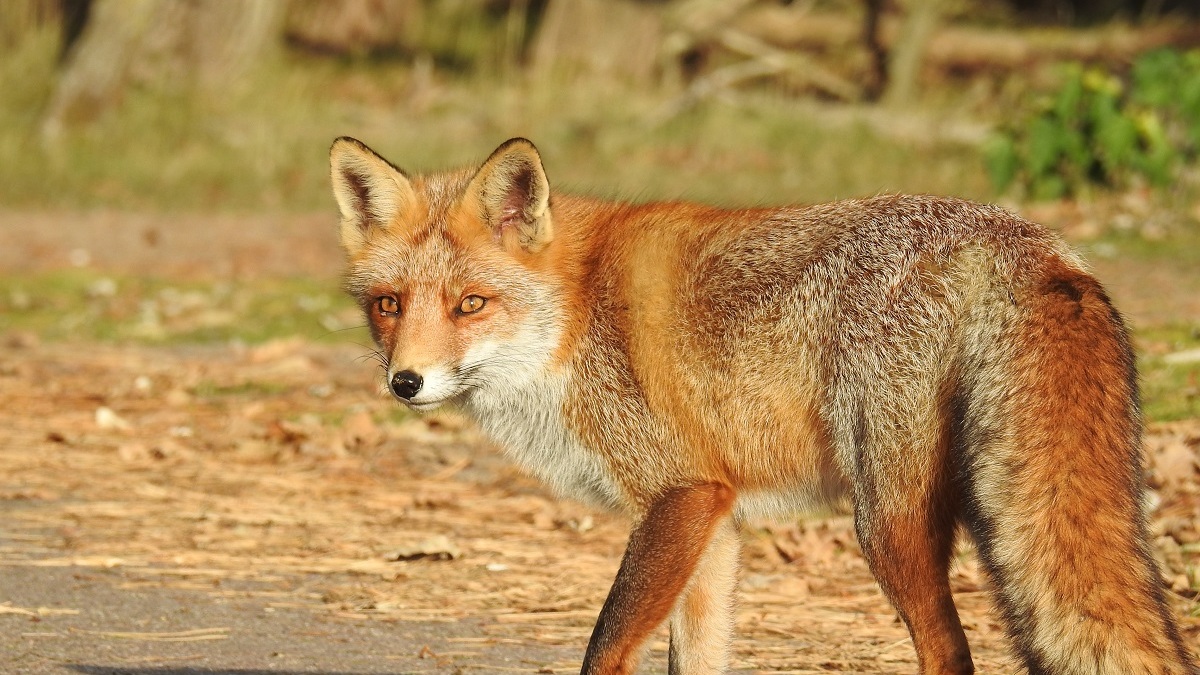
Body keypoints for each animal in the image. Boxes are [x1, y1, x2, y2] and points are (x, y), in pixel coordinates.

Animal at [331, 136, 1200, 672]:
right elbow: (698, 656)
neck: (575, 315)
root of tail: (1025, 239)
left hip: (886, 519)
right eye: (388, 306)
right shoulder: (714, 519)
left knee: (950, 650)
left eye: (471, 304)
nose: (404, 381)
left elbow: (605, 646)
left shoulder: (681, 494)